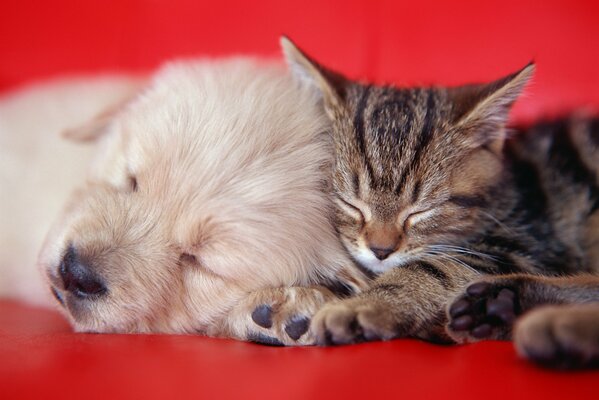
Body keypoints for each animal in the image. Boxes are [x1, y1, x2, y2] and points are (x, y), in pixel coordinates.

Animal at [282, 37, 599, 368]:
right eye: (351, 205)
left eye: (420, 211)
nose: (381, 250)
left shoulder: (527, 245)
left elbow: (433, 267)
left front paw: (360, 307)